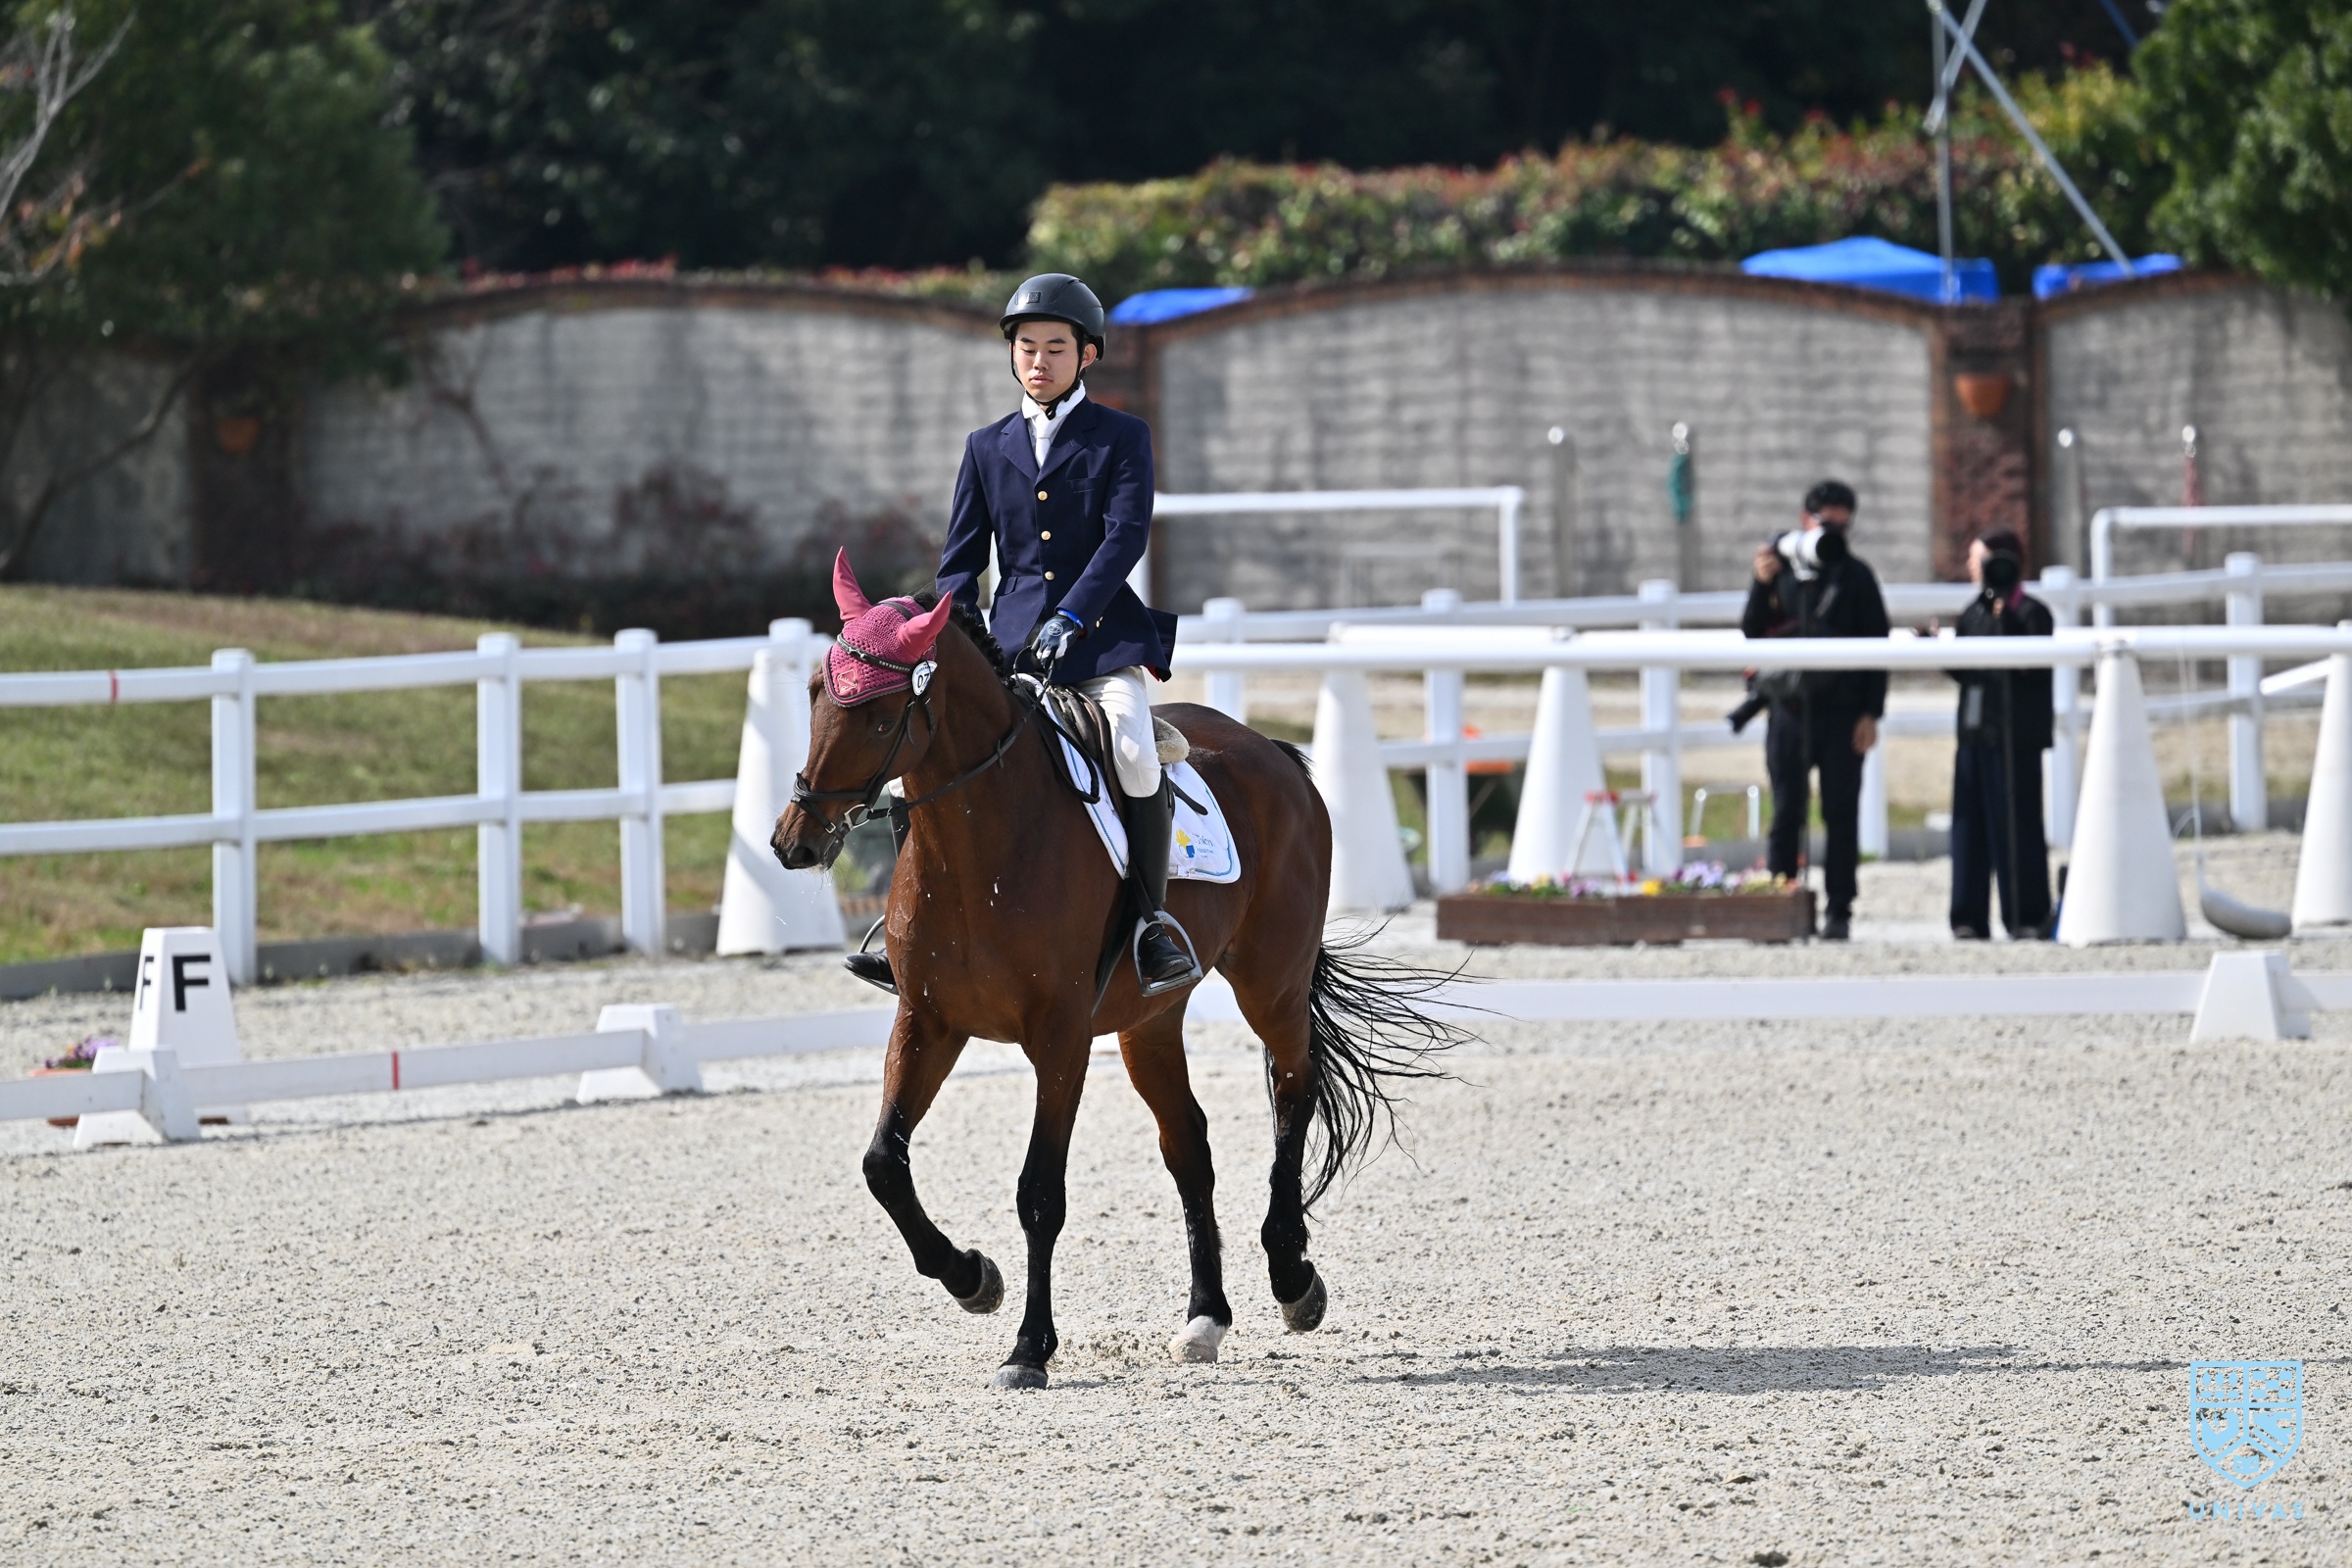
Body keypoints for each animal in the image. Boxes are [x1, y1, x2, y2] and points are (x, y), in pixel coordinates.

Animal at [771, 556, 1464, 1389]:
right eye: (817, 694)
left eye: (879, 716)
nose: (794, 842)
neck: (980, 847)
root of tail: (1272, 750)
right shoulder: (928, 1021)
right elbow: (883, 1164)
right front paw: (973, 1279)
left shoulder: (1060, 1038)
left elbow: (1040, 1193)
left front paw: (1028, 1349)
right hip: (1149, 1020)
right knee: (1189, 1144)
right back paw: (1205, 1319)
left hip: (1272, 981)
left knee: (1293, 1094)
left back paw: (1293, 1278)